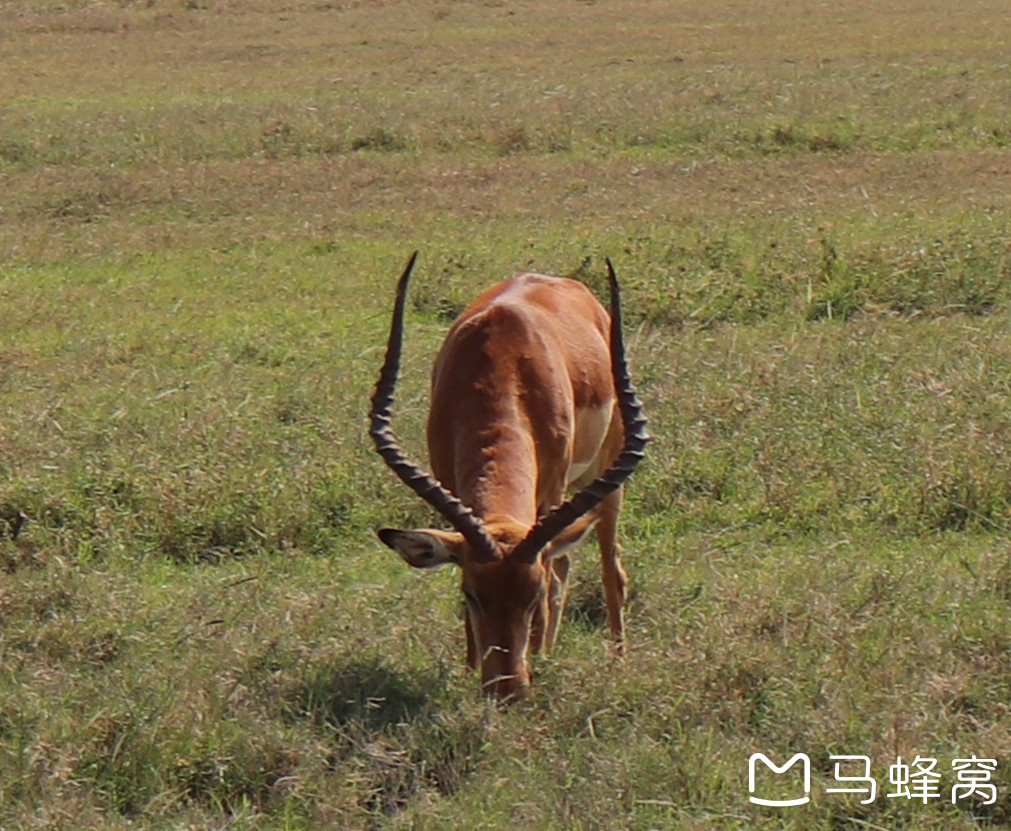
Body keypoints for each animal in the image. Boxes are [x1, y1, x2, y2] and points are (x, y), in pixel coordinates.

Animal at [372, 253, 647, 703]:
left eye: (530, 595)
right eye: (471, 593)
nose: (508, 690)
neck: (502, 359)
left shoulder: (551, 492)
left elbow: (555, 581)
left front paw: (536, 658)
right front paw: (469, 671)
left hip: (605, 478)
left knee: (609, 572)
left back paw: (612, 661)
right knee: (566, 565)